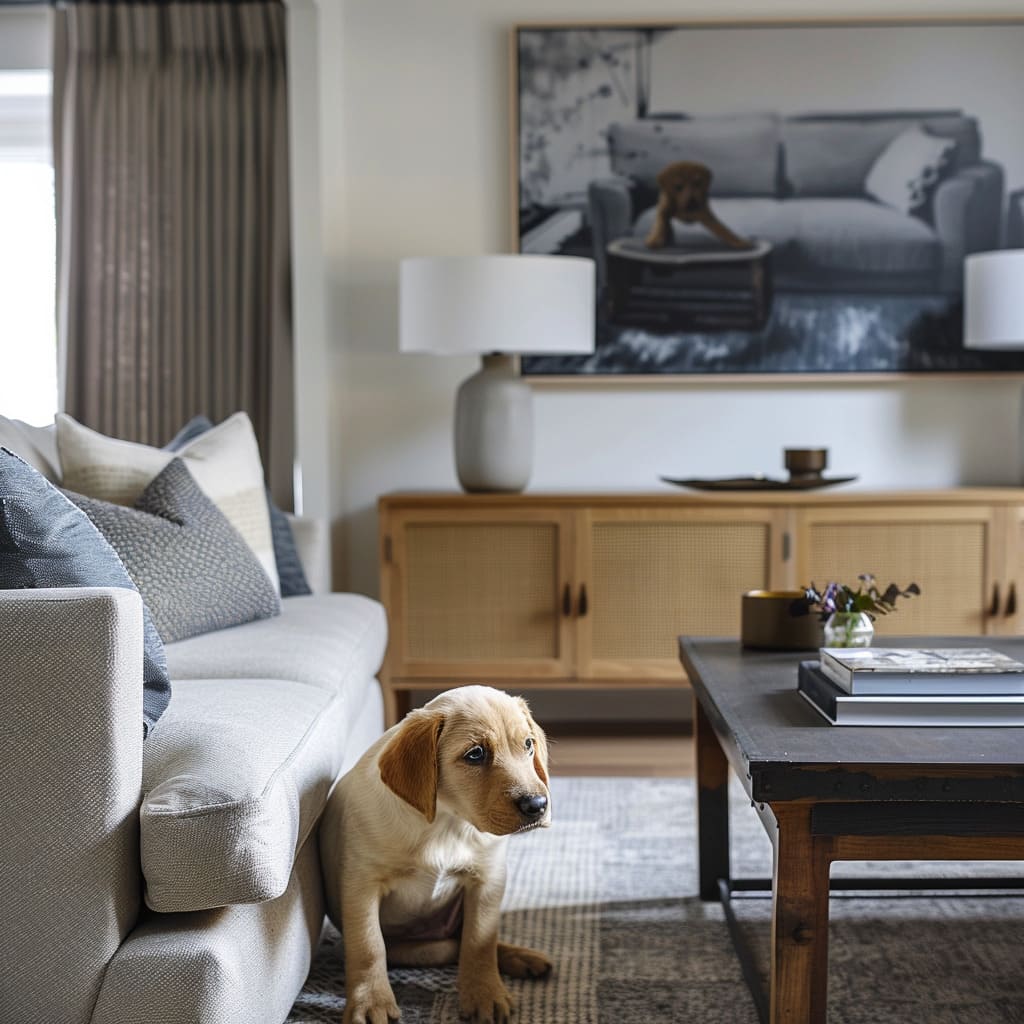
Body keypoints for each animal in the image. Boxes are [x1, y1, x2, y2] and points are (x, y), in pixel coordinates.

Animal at [323, 684, 557, 1024]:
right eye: (476, 754)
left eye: (528, 745)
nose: (537, 805)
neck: (447, 823)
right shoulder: (360, 885)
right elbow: (368, 946)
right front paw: (371, 1003)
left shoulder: (487, 880)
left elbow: (479, 941)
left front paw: (485, 994)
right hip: (415, 948)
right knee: (444, 947)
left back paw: (523, 957)